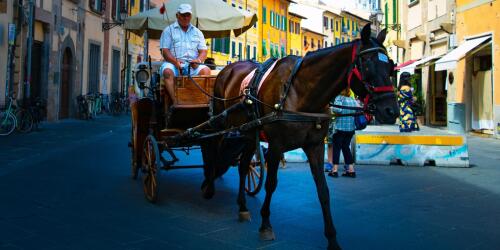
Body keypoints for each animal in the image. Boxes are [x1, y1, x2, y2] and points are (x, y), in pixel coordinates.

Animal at [200, 23, 398, 250]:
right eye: (367, 65)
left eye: (390, 67)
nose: (392, 111)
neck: (301, 91)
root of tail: (226, 70)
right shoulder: (276, 146)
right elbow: (271, 183)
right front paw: (266, 224)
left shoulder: (315, 146)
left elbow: (323, 190)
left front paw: (332, 238)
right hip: (221, 122)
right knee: (214, 149)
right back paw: (210, 185)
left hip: (248, 132)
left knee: (243, 166)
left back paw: (242, 206)